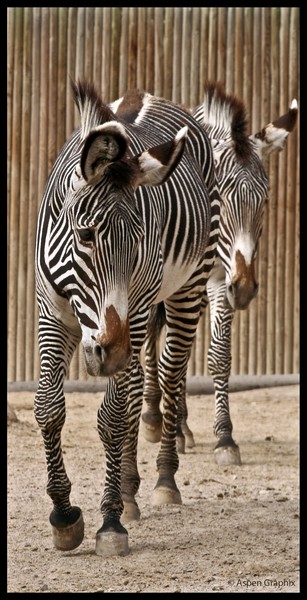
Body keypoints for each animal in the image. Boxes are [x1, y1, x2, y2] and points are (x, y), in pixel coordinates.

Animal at [33, 79, 221, 556]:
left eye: (138, 240)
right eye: (85, 235)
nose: (112, 351)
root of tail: (145, 94)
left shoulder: (132, 316)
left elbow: (114, 416)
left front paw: (110, 520)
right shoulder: (51, 309)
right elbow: (49, 407)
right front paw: (64, 513)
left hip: (187, 289)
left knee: (168, 375)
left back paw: (162, 481)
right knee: (138, 386)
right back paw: (130, 489)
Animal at [141, 82, 298, 464]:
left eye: (265, 200)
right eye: (223, 197)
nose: (245, 289)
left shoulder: (216, 281)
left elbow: (218, 356)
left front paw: (225, 436)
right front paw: (162, 422)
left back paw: (180, 425)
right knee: (153, 334)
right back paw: (154, 416)